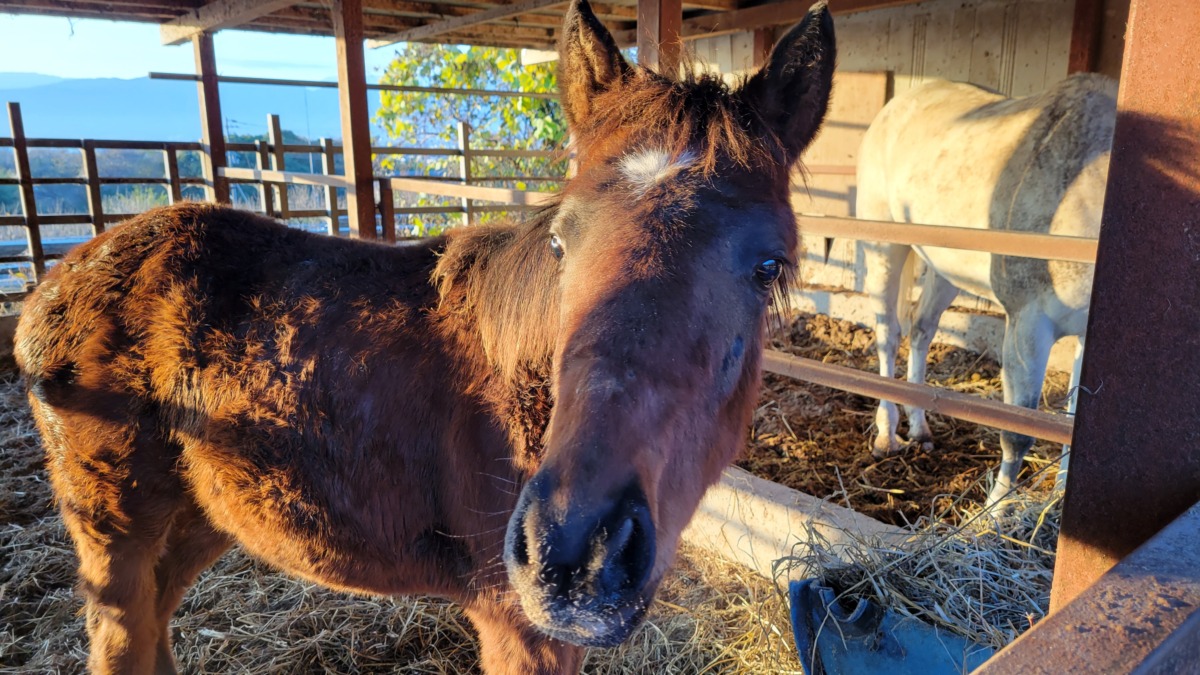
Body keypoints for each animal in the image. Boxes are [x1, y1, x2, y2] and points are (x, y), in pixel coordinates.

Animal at [11, 2, 835, 667]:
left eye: (768, 265)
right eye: (561, 243)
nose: (576, 556)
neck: (520, 404)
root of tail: (59, 278)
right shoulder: (520, 629)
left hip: (197, 520)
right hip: (114, 537)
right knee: (120, 639)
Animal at [854, 74, 1113, 504]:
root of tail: (896, 105)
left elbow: (1074, 424)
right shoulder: (1028, 326)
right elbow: (1017, 432)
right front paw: (996, 511)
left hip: (943, 268)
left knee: (921, 330)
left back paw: (920, 429)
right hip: (885, 247)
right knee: (888, 335)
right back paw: (886, 435)